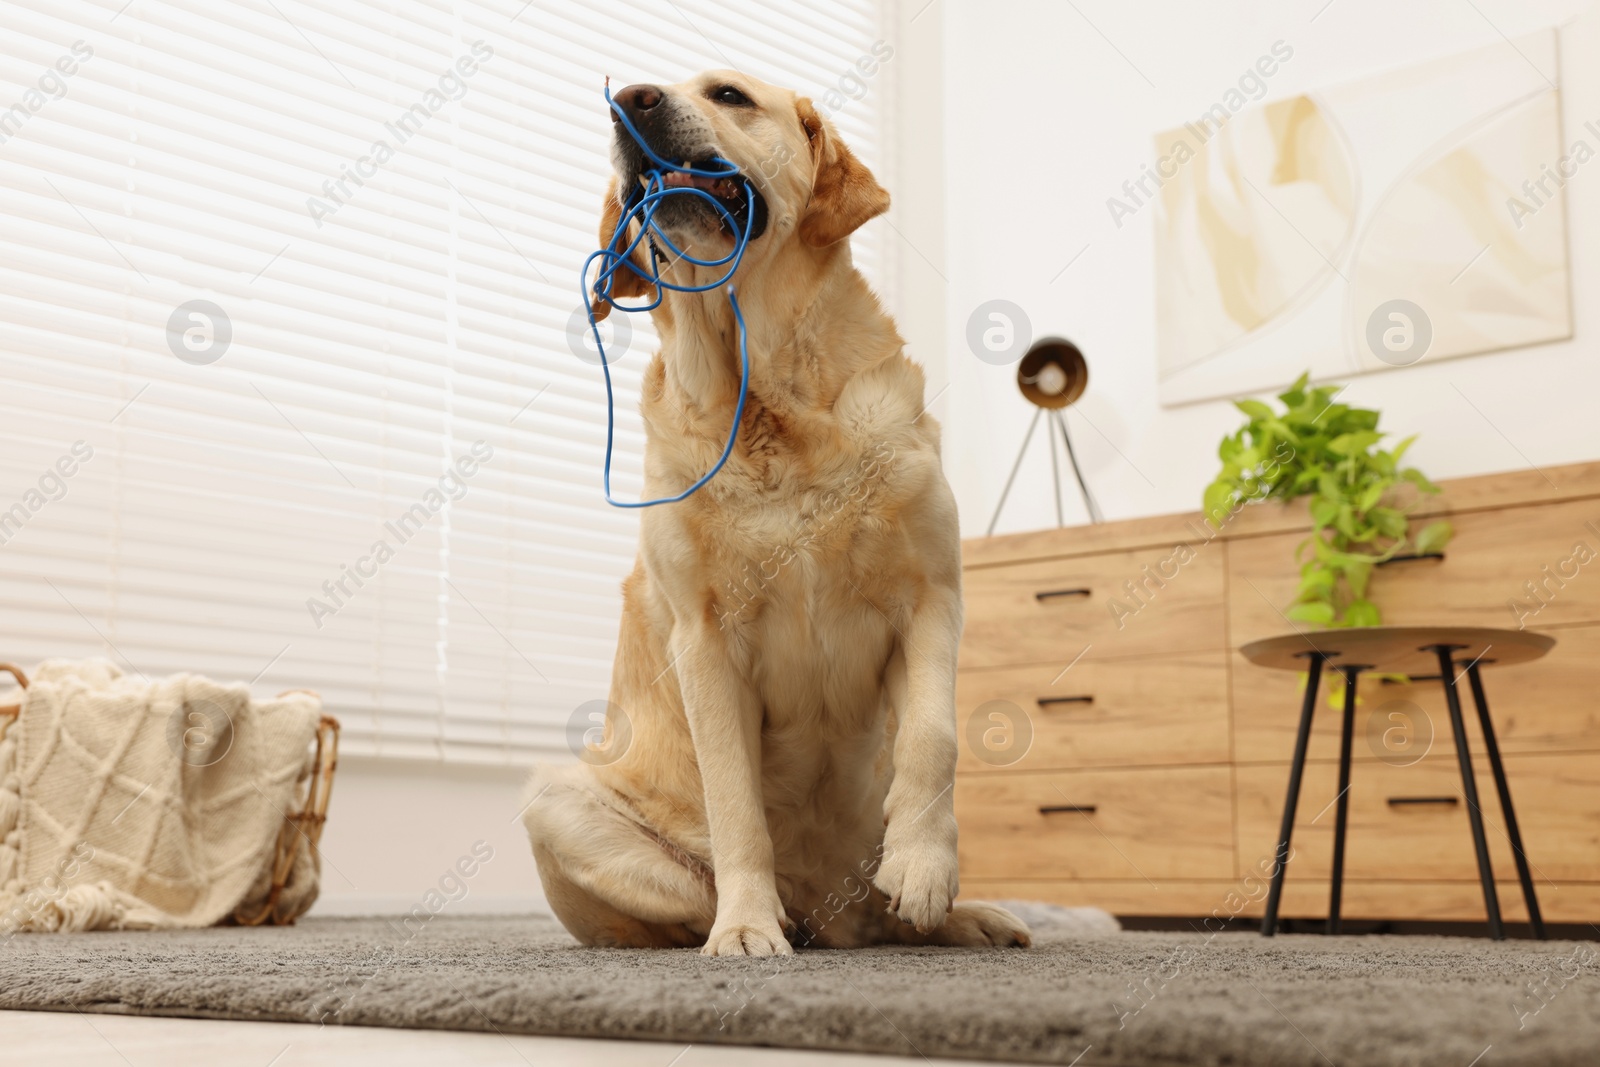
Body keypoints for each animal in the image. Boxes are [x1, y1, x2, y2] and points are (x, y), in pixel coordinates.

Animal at [518, 70, 1030, 953]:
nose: (630, 101)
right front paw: (748, 926)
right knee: (691, 898)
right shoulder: (705, 640)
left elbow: (934, 737)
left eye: (729, 94)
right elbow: (735, 801)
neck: (767, 401)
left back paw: (962, 916)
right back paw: (765, 917)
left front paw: (926, 869)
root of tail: (836, 914)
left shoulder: (933, 595)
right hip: (556, 797)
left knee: (885, 905)